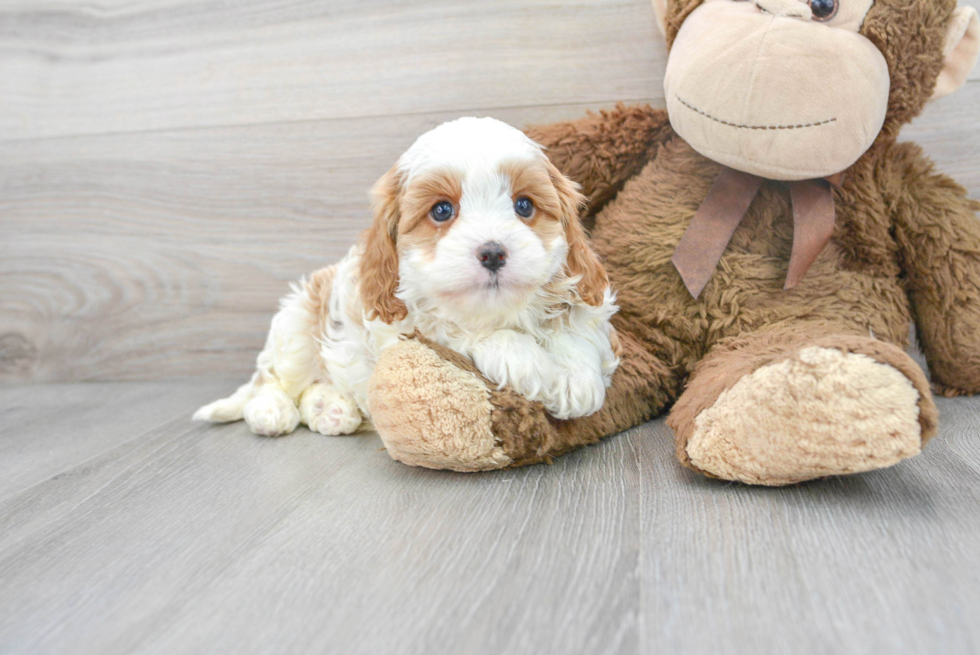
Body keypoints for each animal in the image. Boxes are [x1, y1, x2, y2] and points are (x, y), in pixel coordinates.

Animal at [194, 118, 616, 438]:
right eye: (442, 210)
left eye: (524, 205)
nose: (493, 252)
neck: (497, 312)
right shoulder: (400, 324)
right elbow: (457, 331)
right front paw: (524, 357)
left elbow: (577, 325)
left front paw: (577, 377)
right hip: (295, 322)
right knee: (272, 380)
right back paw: (272, 411)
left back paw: (331, 410)